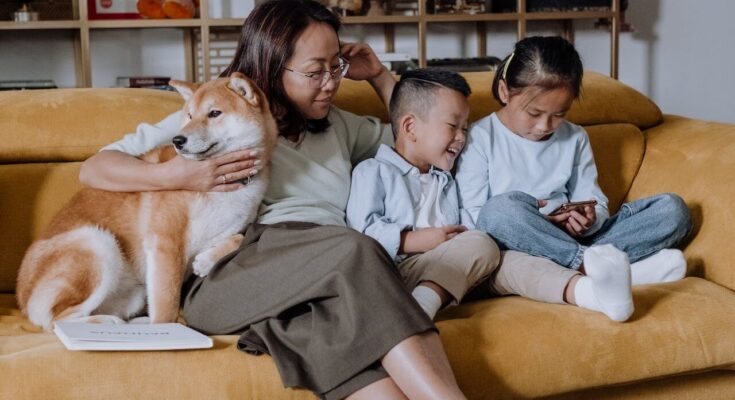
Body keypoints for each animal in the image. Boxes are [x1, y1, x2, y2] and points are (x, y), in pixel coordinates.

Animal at [17, 73, 278, 330]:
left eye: (214, 113)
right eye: (189, 115)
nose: (178, 139)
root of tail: (22, 297)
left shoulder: (227, 229)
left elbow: (240, 237)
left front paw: (206, 261)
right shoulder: (166, 244)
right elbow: (166, 307)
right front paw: (167, 331)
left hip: (136, 292)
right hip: (97, 243)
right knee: (57, 319)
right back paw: (108, 324)